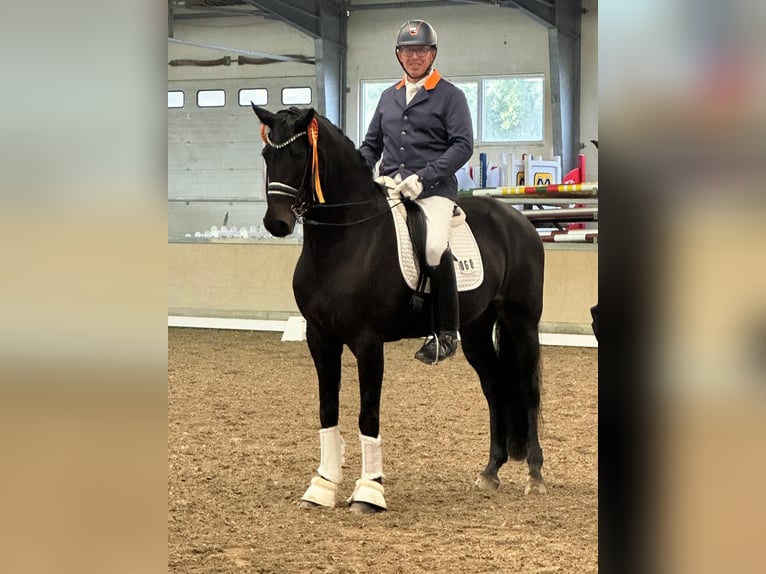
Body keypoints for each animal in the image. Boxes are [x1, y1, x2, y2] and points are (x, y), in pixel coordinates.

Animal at [252, 106, 544, 516]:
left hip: (522, 321)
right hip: (475, 329)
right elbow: (328, 410)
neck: (343, 241)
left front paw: (368, 493)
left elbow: (368, 414)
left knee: (529, 389)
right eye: (267, 155)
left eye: (298, 154)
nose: (276, 223)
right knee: (494, 387)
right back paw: (490, 472)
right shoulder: (320, 337)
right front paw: (323, 487)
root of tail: (519, 222)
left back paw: (535, 475)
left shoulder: (368, 342)